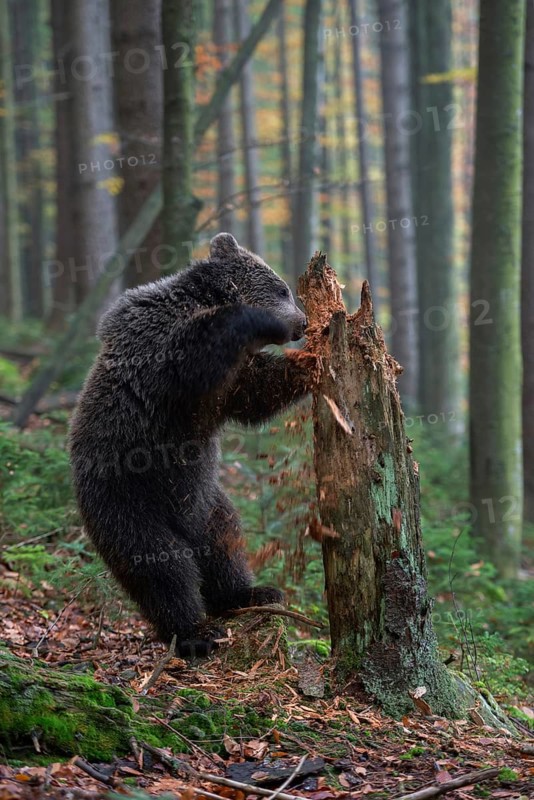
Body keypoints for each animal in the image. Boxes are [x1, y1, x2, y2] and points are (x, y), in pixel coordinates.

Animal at [69, 233, 316, 656]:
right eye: (283, 289)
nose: (302, 322)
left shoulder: (229, 383)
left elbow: (256, 392)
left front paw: (312, 360)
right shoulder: (161, 349)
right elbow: (191, 352)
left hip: (206, 500)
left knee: (224, 544)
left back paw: (249, 593)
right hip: (128, 499)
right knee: (160, 564)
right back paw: (194, 632)